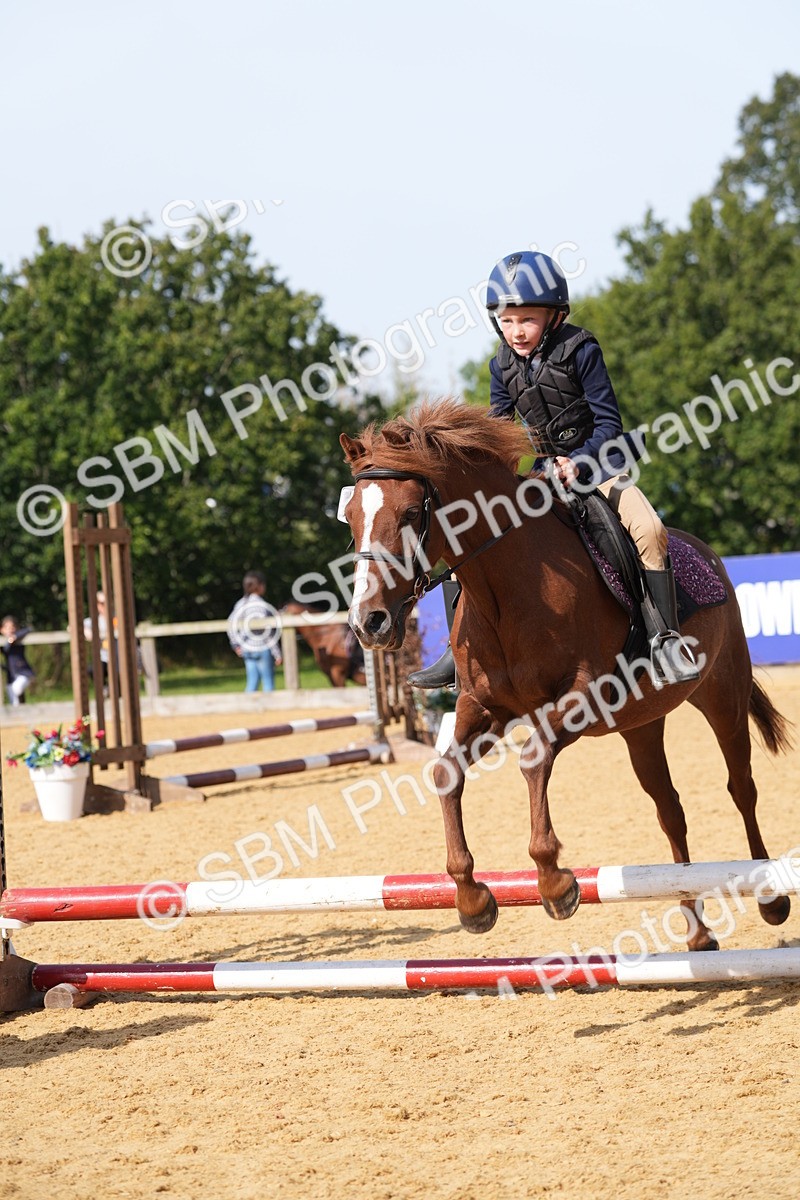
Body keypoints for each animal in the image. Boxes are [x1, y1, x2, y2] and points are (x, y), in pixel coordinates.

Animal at [339, 398, 793, 950]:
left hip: (722, 695)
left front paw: (555, 882)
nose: (368, 623)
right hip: (642, 725)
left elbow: (534, 759)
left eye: (409, 515)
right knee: (670, 810)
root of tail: (706, 553)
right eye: (351, 520)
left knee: (741, 786)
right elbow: (446, 772)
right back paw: (698, 933)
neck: (508, 588)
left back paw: (771, 898)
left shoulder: (581, 698)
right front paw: (472, 899)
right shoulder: (483, 706)